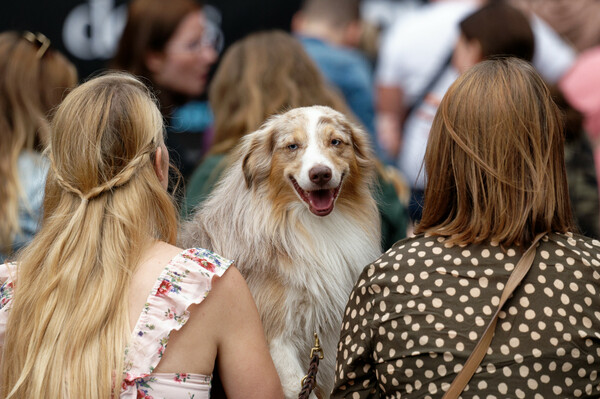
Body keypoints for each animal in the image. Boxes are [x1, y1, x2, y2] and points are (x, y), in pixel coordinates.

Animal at [180, 104, 382, 398]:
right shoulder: (275, 340)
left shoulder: (326, 341)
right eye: (292, 146)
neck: (311, 226)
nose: (320, 173)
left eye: (335, 142)